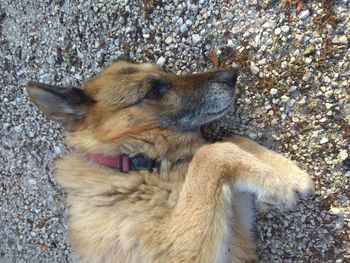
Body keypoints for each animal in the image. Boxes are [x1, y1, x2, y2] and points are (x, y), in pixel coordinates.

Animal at [26, 59, 314, 263]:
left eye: (167, 72)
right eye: (153, 90)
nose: (231, 75)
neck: (137, 165)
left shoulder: (235, 217)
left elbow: (231, 141)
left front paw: (288, 174)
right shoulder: (180, 250)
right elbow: (211, 153)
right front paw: (275, 184)